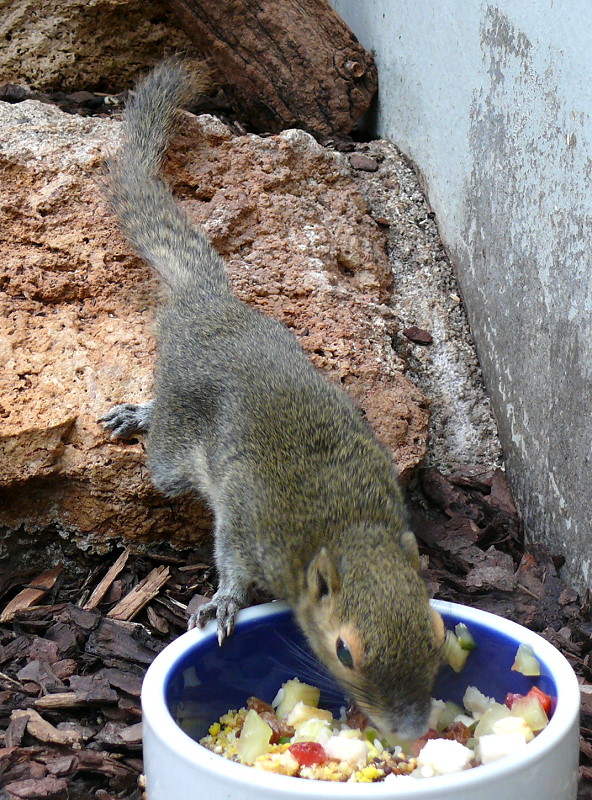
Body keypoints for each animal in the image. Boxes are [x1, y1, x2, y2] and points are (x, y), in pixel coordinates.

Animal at [102, 59, 444, 740]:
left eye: (436, 631)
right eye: (344, 652)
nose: (411, 731)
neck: (340, 525)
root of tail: (211, 307)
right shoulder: (247, 521)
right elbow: (232, 563)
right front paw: (225, 603)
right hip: (175, 445)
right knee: (165, 445)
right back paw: (140, 415)